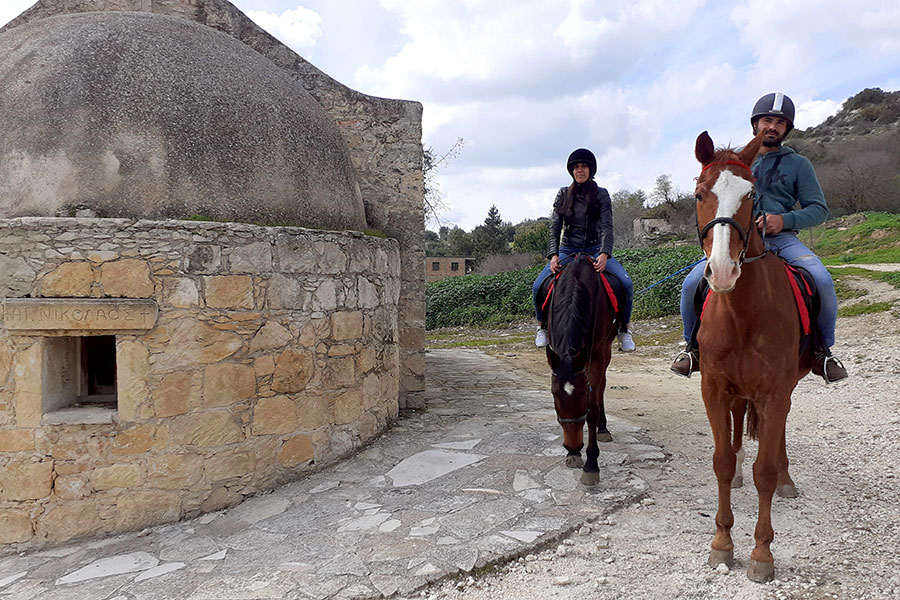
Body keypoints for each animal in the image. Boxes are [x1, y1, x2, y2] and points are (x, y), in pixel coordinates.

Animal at [545, 253, 618, 486]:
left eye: (582, 395)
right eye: (554, 395)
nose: (572, 445)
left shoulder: (596, 355)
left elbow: (592, 408)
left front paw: (591, 464)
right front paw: (573, 454)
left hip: (606, 350)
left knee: (602, 386)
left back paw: (602, 427)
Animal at [692, 130, 813, 583]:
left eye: (750, 195)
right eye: (700, 194)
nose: (723, 271)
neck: (742, 313)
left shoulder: (775, 393)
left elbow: (765, 470)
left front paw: (762, 553)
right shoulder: (713, 390)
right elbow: (723, 461)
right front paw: (722, 543)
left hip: (784, 390)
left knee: (777, 439)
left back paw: (786, 478)